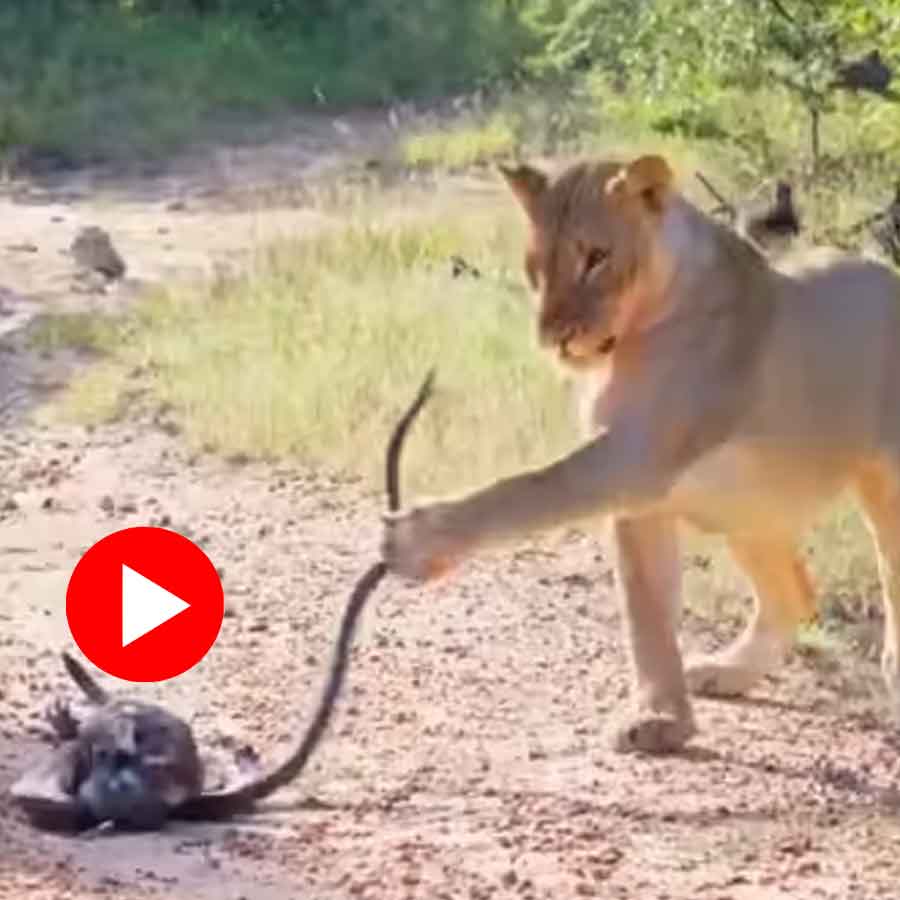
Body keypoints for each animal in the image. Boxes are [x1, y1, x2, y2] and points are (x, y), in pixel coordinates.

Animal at [380, 152, 900, 755]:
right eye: (537, 265)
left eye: (596, 258)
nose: (554, 337)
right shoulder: (639, 498)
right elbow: (644, 611)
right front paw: (661, 717)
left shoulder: (636, 454)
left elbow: (528, 489)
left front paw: (417, 538)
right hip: (751, 509)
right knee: (794, 594)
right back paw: (727, 671)